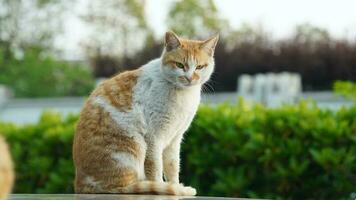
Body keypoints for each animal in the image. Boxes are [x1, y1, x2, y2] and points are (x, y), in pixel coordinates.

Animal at [72, 31, 218, 195]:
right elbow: (155, 168)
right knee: (125, 187)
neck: (182, 93)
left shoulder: (175, 139)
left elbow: (173, 166)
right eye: (180, 65)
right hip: (134, 144)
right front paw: (166, 188)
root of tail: (81, 185)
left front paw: (175, 185)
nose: (190, 78)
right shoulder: (154, 138)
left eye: (200, 67)